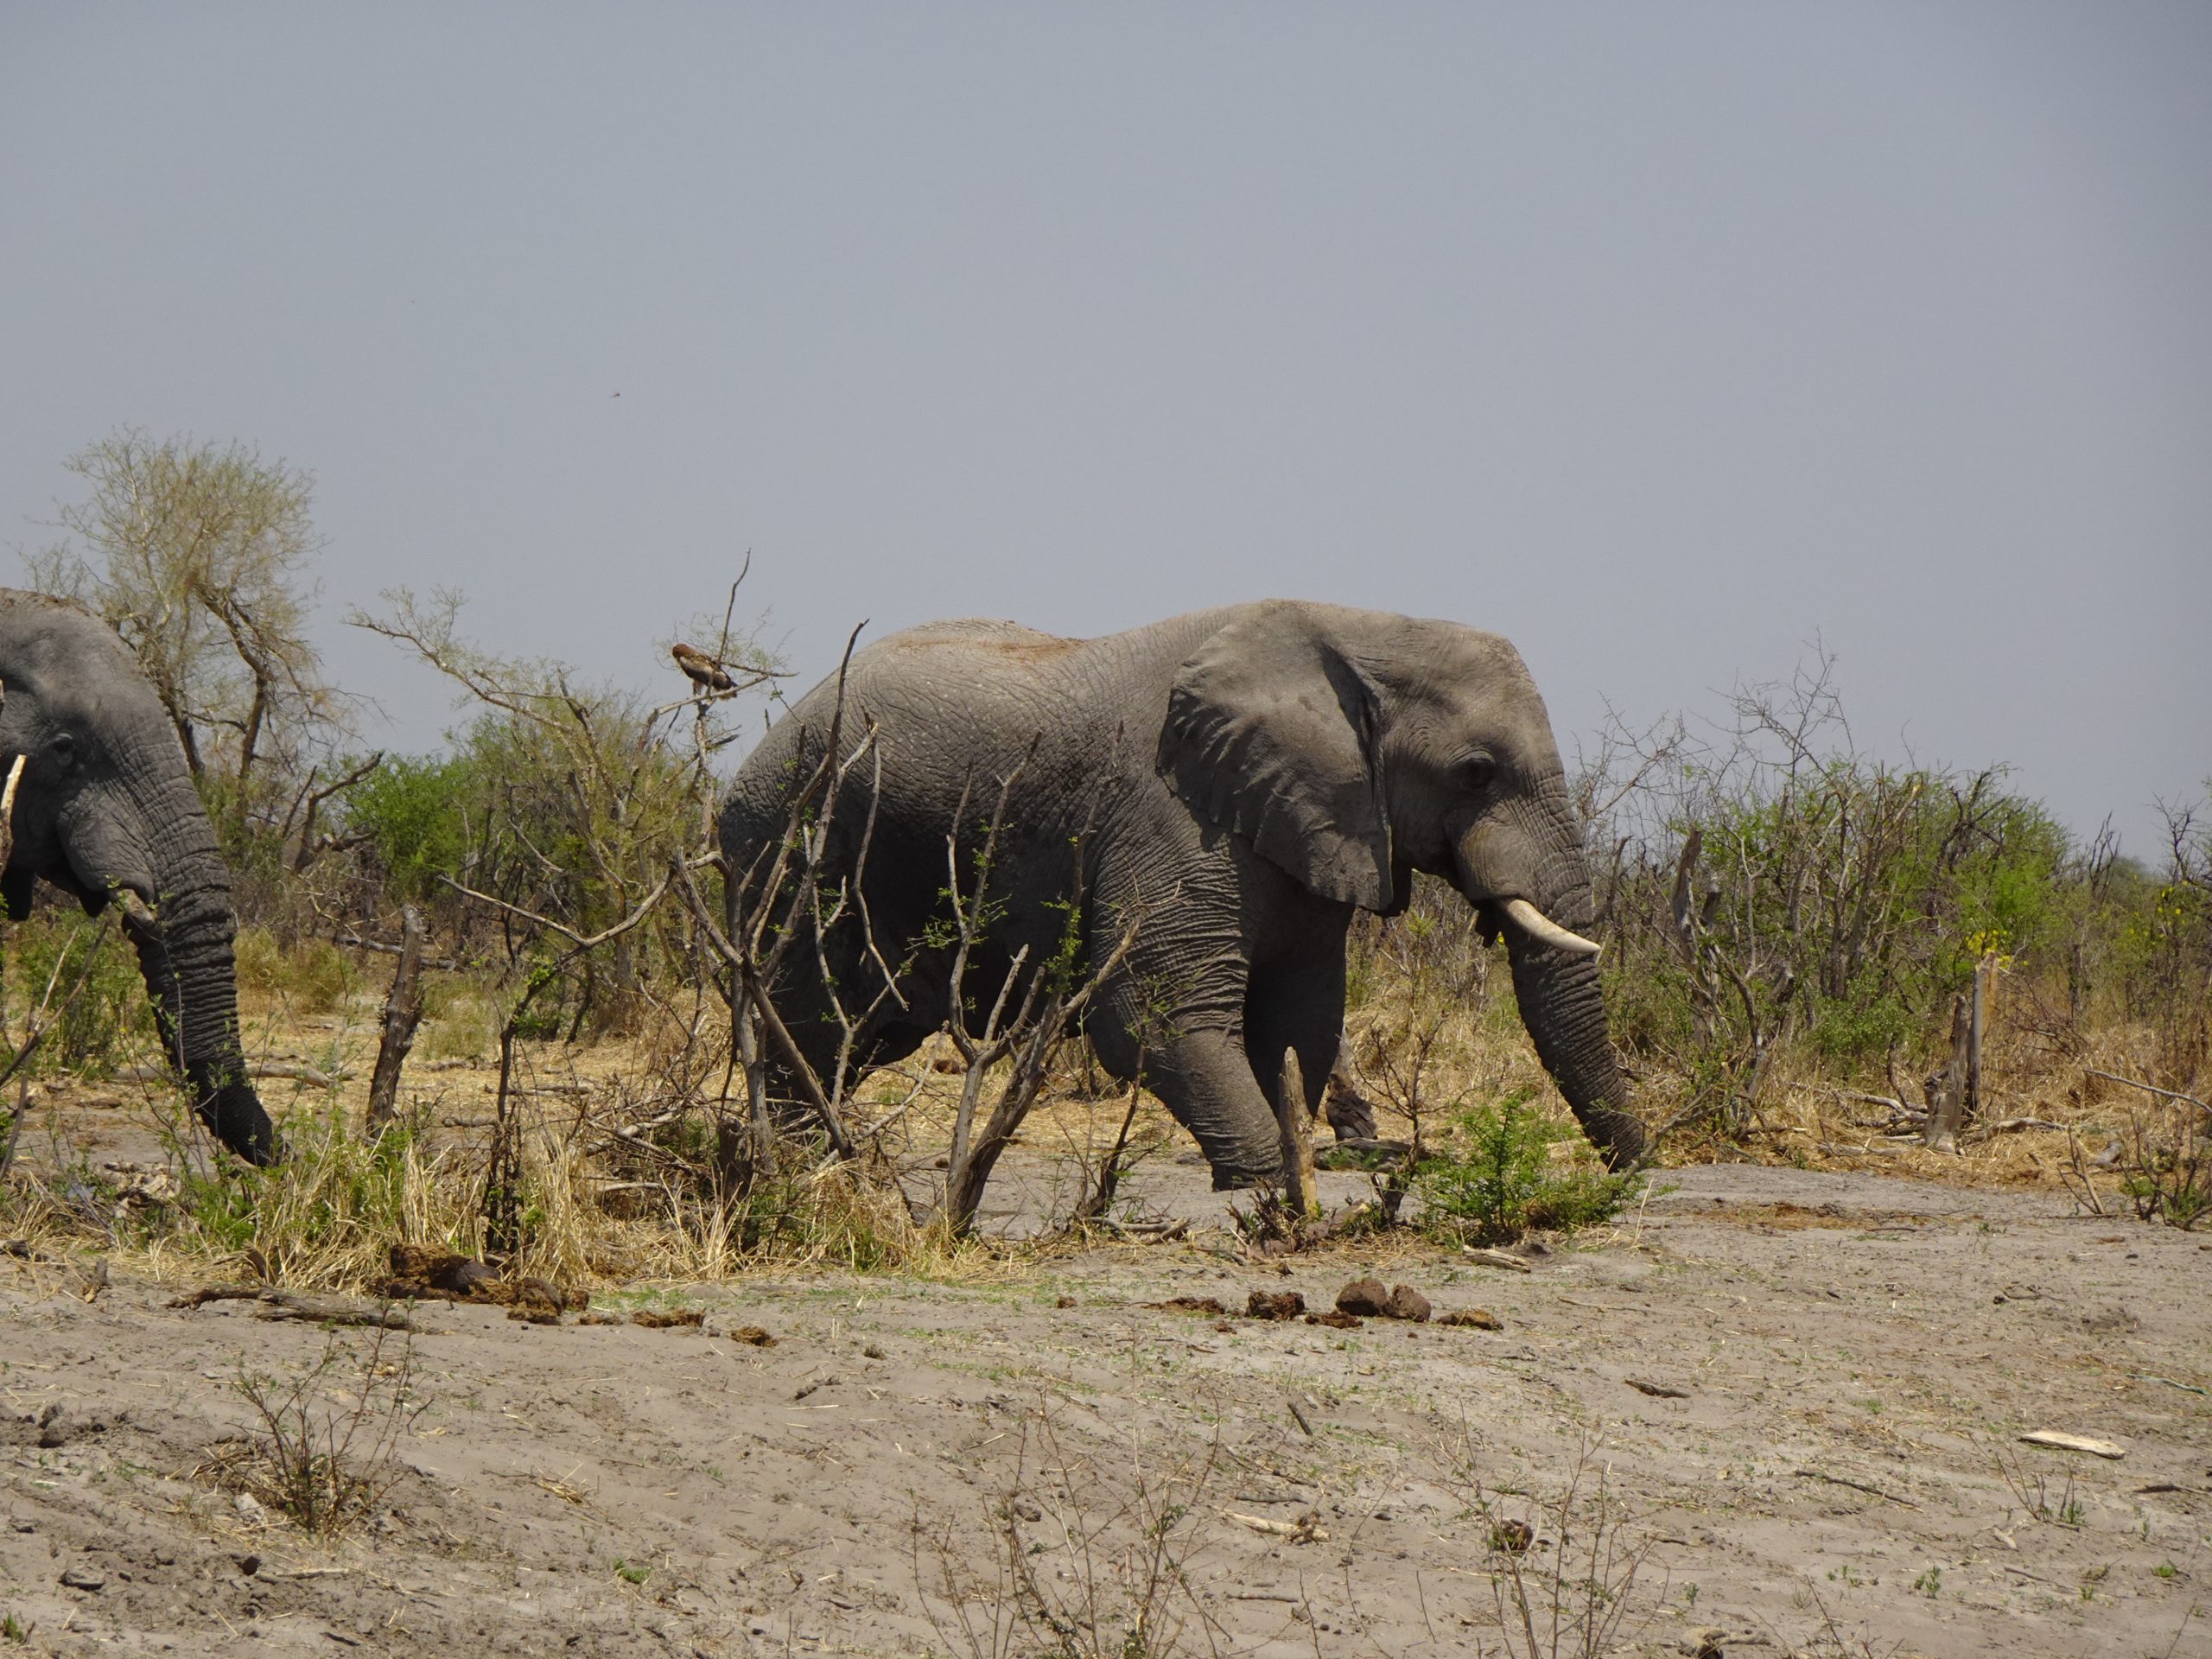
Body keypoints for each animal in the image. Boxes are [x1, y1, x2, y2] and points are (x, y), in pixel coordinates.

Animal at [725, 606, 1645, 1185]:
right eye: (1475, 771)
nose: (1638, 1171)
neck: (1356, 631)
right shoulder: (1169, 814)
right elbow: (1152, 1013)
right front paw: (1265, 1189)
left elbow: (1298, 1024)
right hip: (790, 847)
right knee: (806, 1026)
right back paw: (796, 1169)